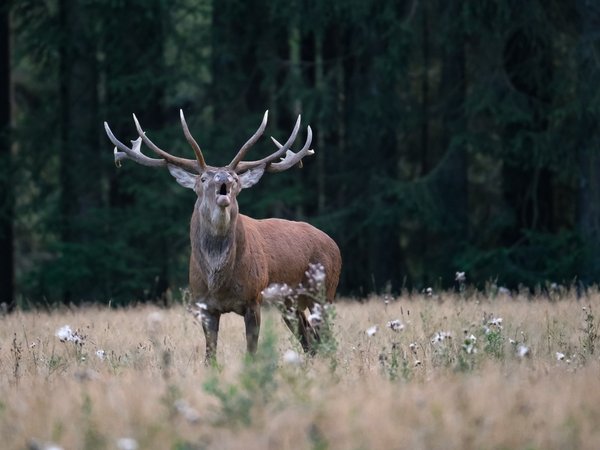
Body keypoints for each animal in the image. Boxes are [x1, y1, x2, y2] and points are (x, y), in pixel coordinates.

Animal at [104, 110, 342, 362]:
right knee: (309, 338)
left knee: (324, 336)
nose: (223, 180)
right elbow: (210, 356)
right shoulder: (205, 306)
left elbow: (251, 352)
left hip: (324, 290)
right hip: (290, 302)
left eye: (235, 178)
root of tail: (334, 244)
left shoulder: (254, 298)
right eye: (203, 179)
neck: (218, 280)